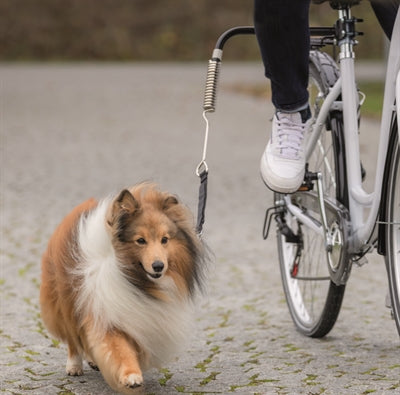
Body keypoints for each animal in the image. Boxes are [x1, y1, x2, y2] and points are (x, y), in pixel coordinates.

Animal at [40, 184, 206, 394]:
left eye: (165, 239)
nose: (159, 266)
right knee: (72, 336)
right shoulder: (107, 314)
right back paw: (74, 366)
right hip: (66, 299)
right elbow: (119, 349)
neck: (135, 280)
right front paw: (131, 376)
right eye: (140, 240)